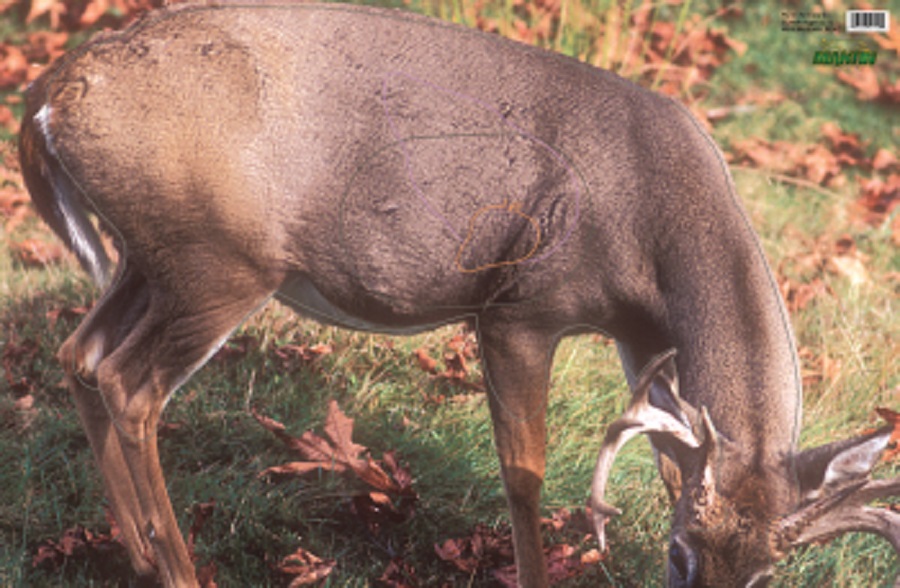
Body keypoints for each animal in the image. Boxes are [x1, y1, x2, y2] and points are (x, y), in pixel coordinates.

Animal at [17, 2, 896, 584]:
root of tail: (49, 93)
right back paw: (177, 567)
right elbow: (525, 473)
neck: (657, 220)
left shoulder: (640, 339)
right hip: (219, 260)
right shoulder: (520, 308)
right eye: (679, 554)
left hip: (151, 258)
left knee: (81, 352)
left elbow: (667, 461)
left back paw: (136, 552)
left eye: (761, 573)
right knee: (130, 385)